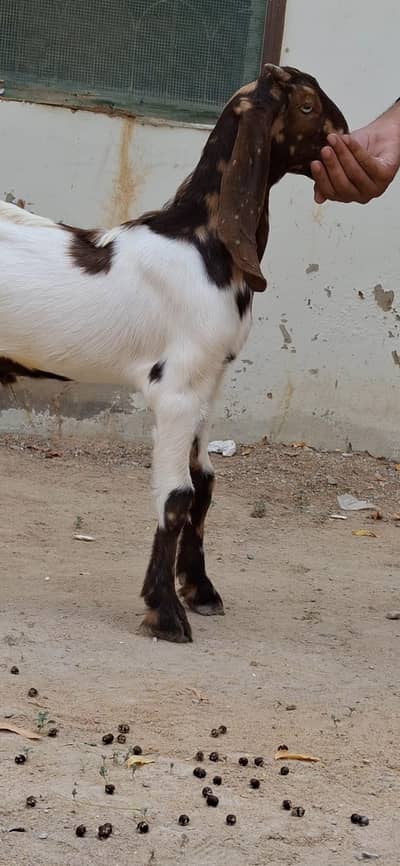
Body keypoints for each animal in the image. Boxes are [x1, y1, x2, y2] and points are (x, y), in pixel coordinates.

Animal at [0, 64, 348, 642]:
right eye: (305, 106)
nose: (346, 138)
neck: (204, 243)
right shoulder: (176, 389)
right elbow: (176, 495)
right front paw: (164, 611)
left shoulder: (209, 383)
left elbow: (204, 482)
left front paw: (200, 590)